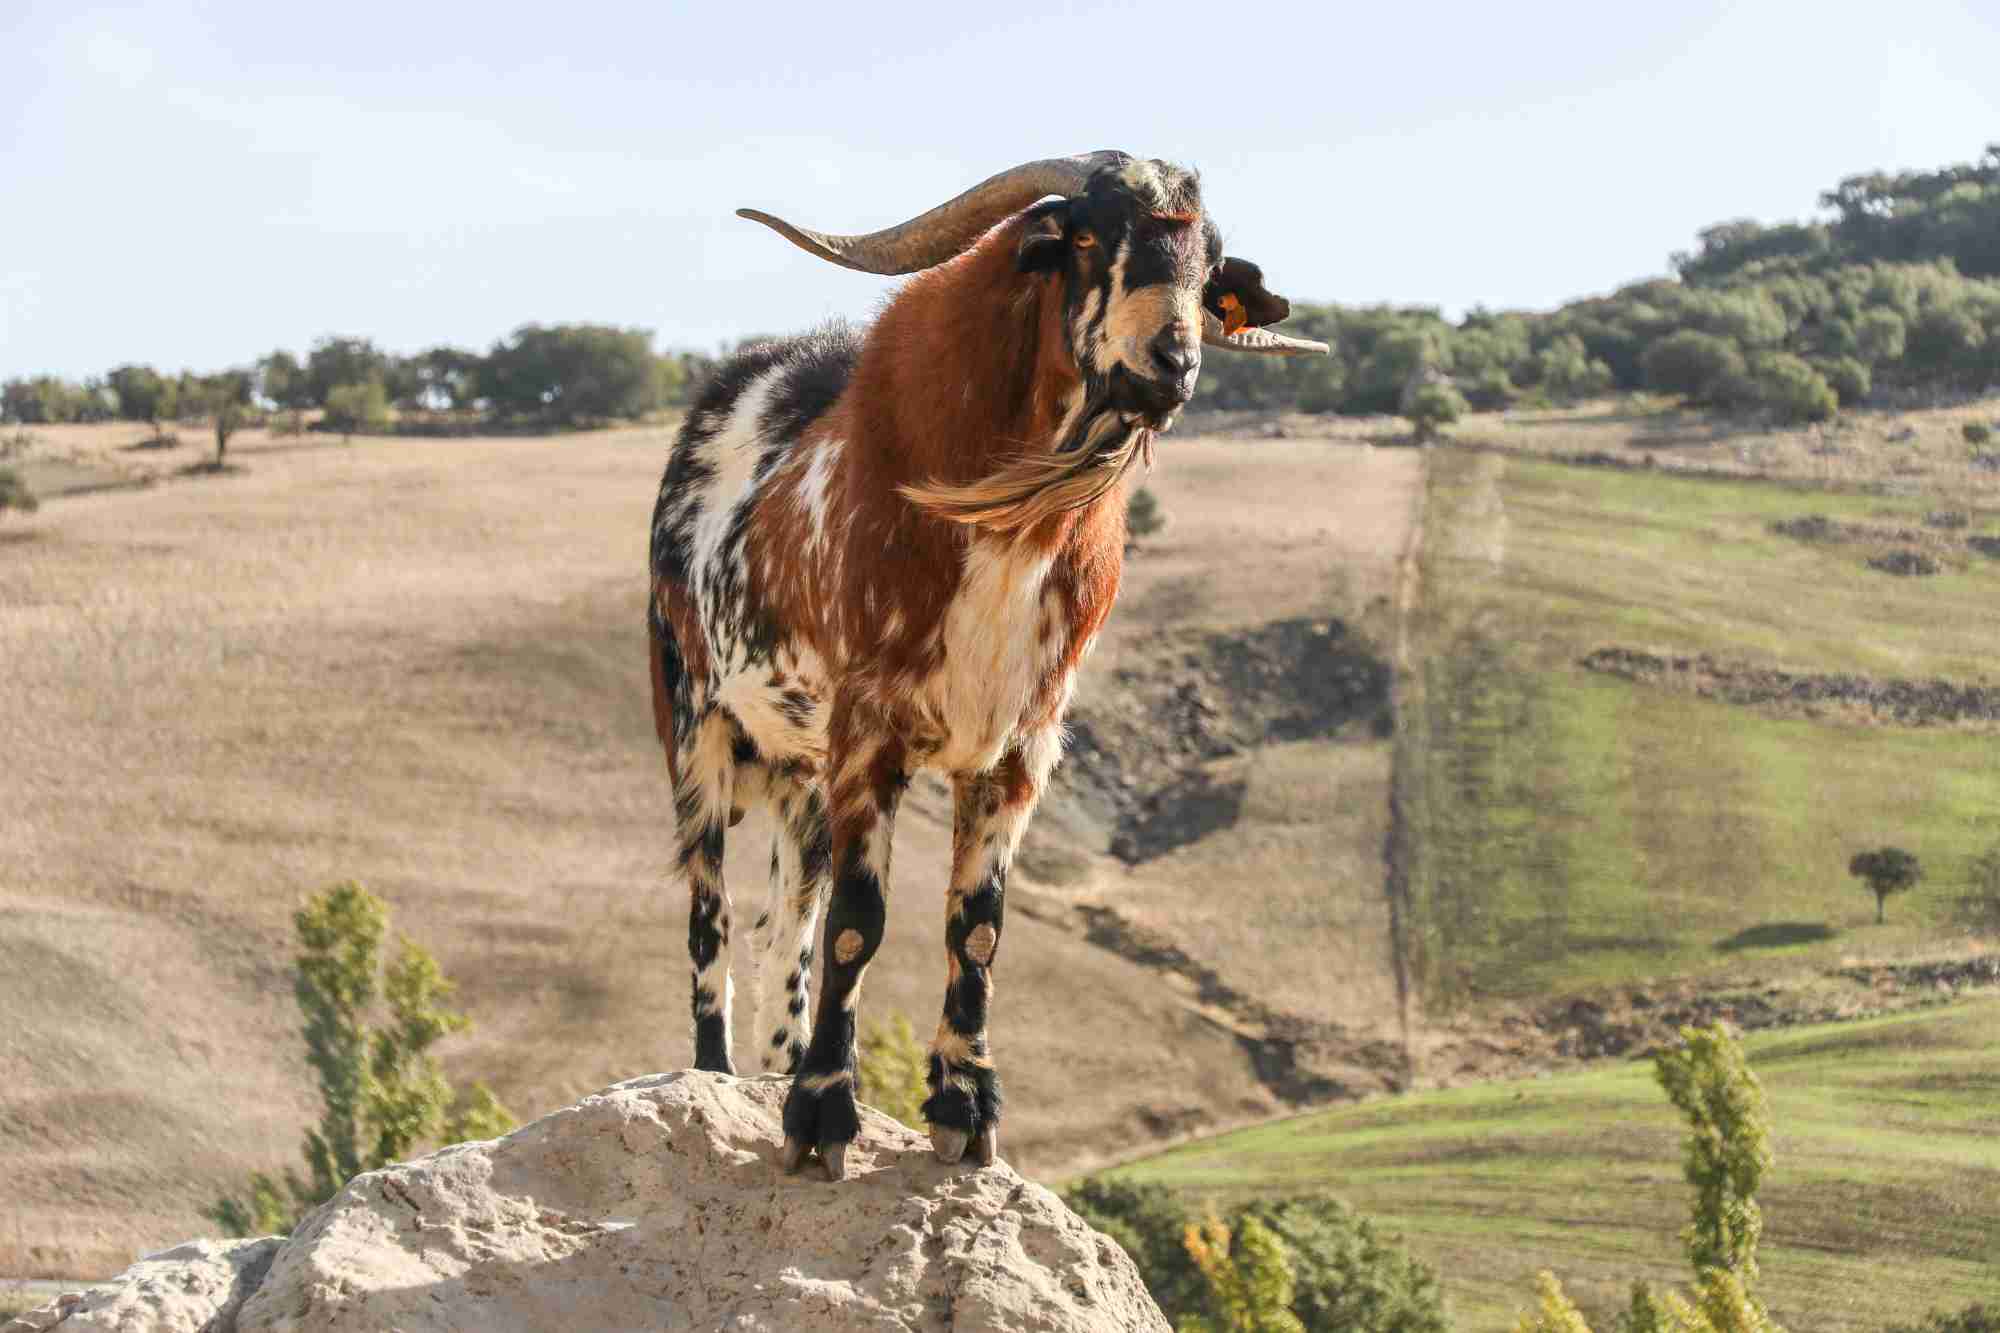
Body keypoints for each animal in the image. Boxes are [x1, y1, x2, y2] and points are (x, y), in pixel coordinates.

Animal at [648, 151, 1326, 1180]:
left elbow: (977, 925)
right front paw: (823, 1112)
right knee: (711, 913)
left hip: (800, 774)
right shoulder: (870, 730)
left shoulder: (1020, 745)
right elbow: (860, 921)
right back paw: (718, 1076)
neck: (1006, 530)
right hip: (696, 730)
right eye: (1083, 235)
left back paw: (774, 1064)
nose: (1173, 363)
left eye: (1210, 268)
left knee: (787, 920)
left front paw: (964, 1106)